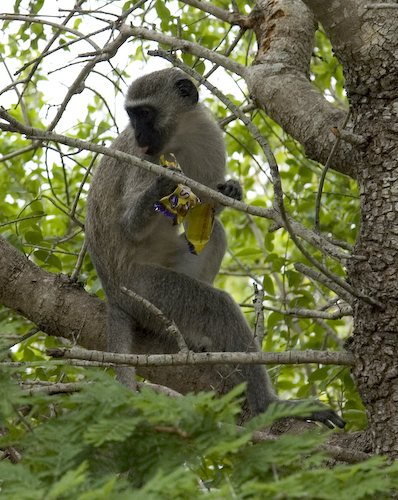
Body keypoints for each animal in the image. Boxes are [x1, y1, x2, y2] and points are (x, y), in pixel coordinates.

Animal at [84, 65, 346, 426]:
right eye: (132, 116)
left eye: (144, 114)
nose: (138, 136)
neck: (180, 136)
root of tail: (111, 291)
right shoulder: (141, 160)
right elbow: (129, 225)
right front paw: (161, 187)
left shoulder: (208, 137)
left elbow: (206, 210)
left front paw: (231, 190)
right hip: (143, 290)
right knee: (216, 307)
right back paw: (268, 405)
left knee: (215, 233)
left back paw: (194, 342)